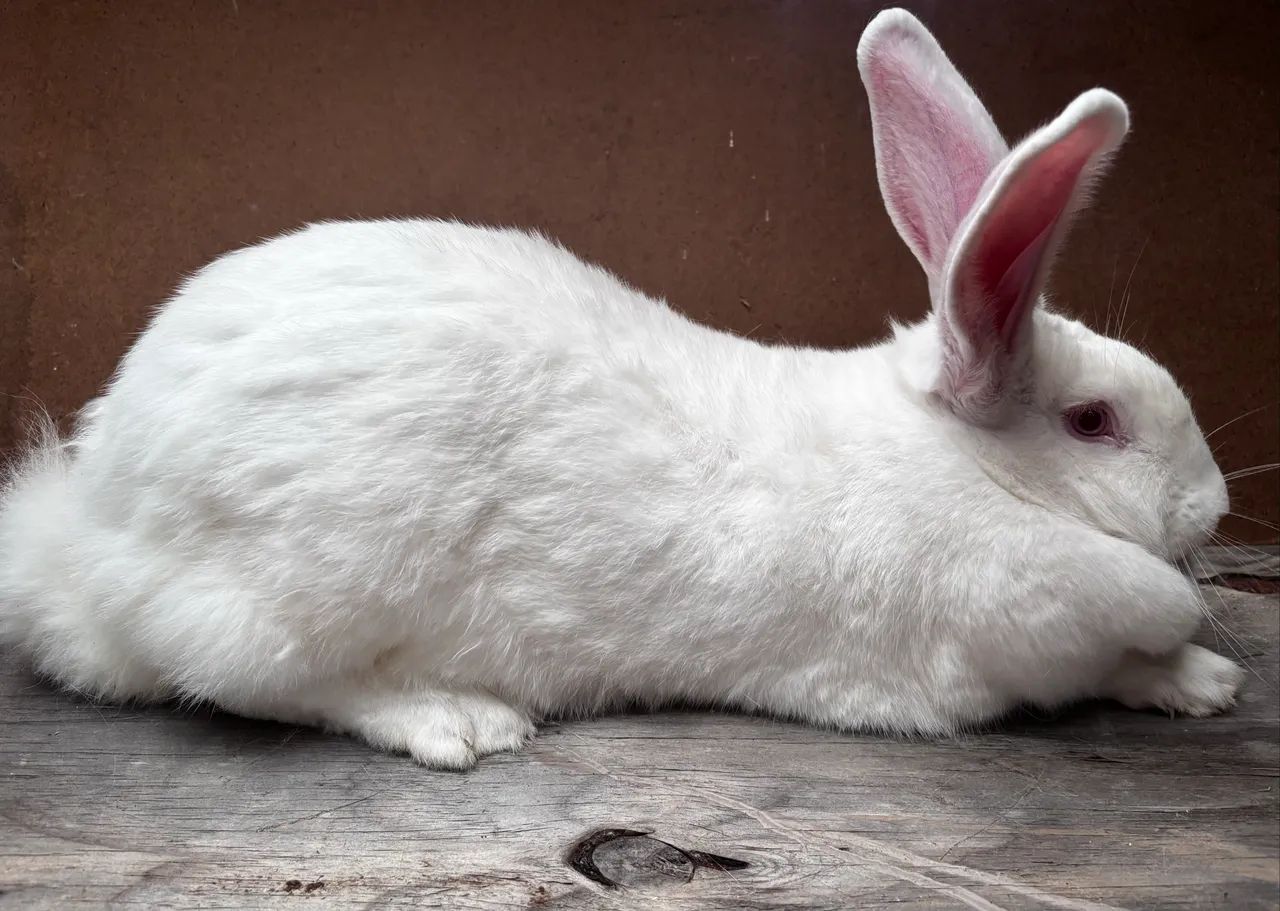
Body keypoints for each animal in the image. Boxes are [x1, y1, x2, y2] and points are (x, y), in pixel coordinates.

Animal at [0, 8, 1244, 769]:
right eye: (1093, 421)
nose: (1213, 505)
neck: (963, 458)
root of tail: (86, 532)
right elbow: (1131, 616)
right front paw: (1191, 651)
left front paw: (1207, 680)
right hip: (305, 586)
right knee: (250, 679)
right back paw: (455, 717)